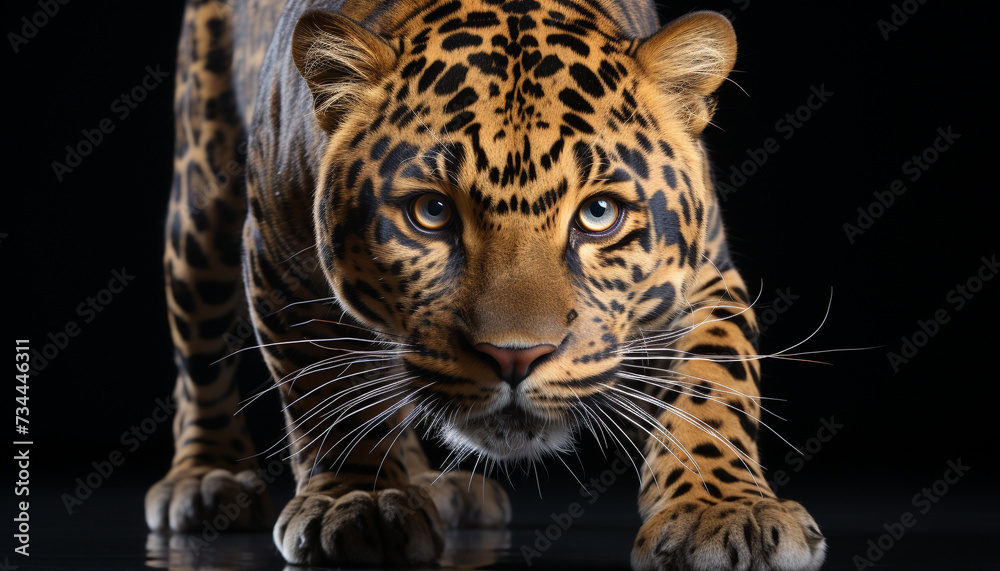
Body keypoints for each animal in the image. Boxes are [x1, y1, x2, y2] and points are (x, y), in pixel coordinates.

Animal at [145, 0, 827, 568]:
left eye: (599, 214)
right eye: (431, 212)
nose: (515, 356)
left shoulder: (704, 273)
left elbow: (715, 383)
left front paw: (726, 513)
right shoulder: (278, 258)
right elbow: (325, 388)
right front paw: (357, 502)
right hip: (200, 192)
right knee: (199, 351)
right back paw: (206, 481)